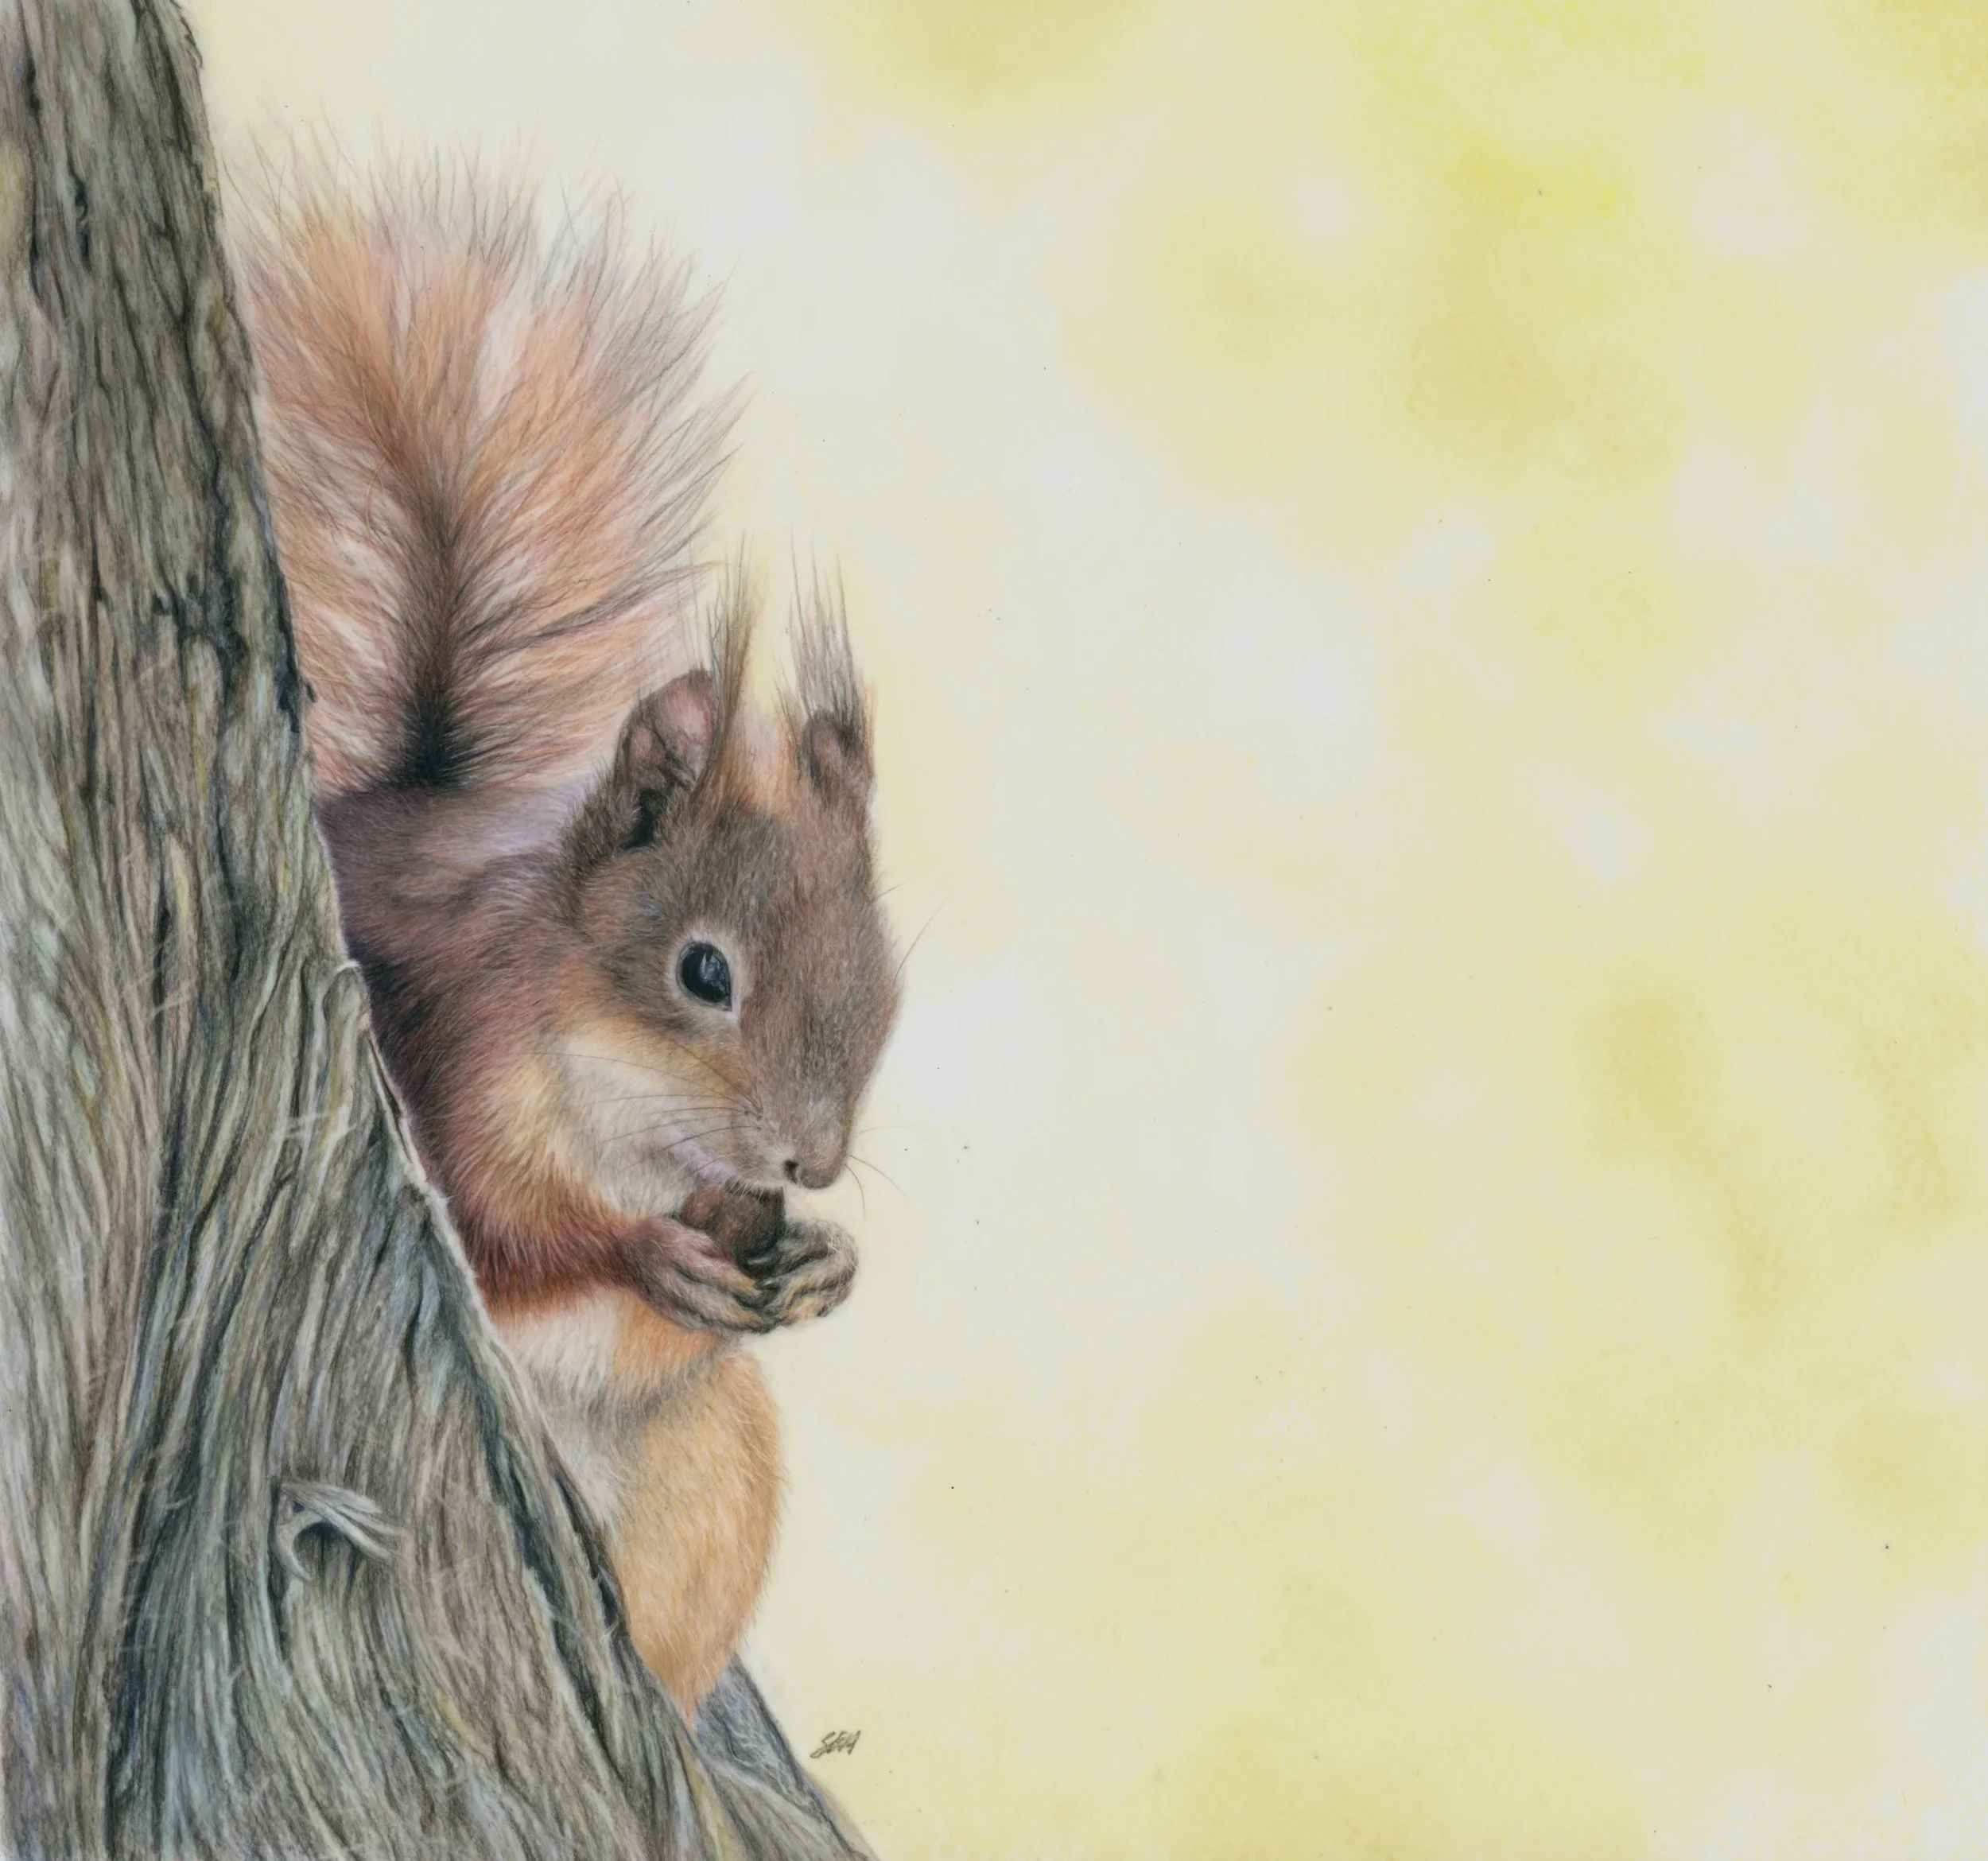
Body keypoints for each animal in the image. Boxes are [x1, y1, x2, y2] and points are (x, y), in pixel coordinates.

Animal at [233, 174, 900, 1715]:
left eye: (886, 981)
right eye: (704, 973)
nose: (812, 1160)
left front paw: (826, 1260)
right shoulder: (455, 1054)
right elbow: (503, 1228)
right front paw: (641, 1253)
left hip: (711, 1475)